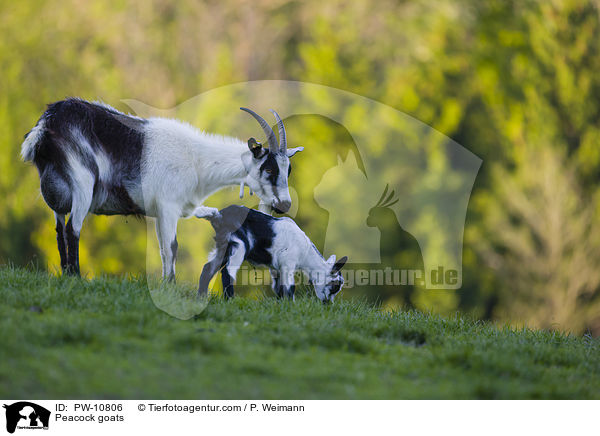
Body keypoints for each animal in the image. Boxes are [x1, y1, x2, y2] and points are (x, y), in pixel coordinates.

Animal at [21, 97, 302, 278]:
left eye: (288, 169)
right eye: (269, 169)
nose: (284, 205)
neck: (197, 159)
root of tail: (47, 124)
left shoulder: (159, 213)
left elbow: (163, 249)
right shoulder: (168, 207)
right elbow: (172, 246)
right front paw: (171, 286)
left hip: (59, 195)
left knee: (59, 230)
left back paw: (65, 274)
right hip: (82, 184)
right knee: (73, 229)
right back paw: (76, 277)